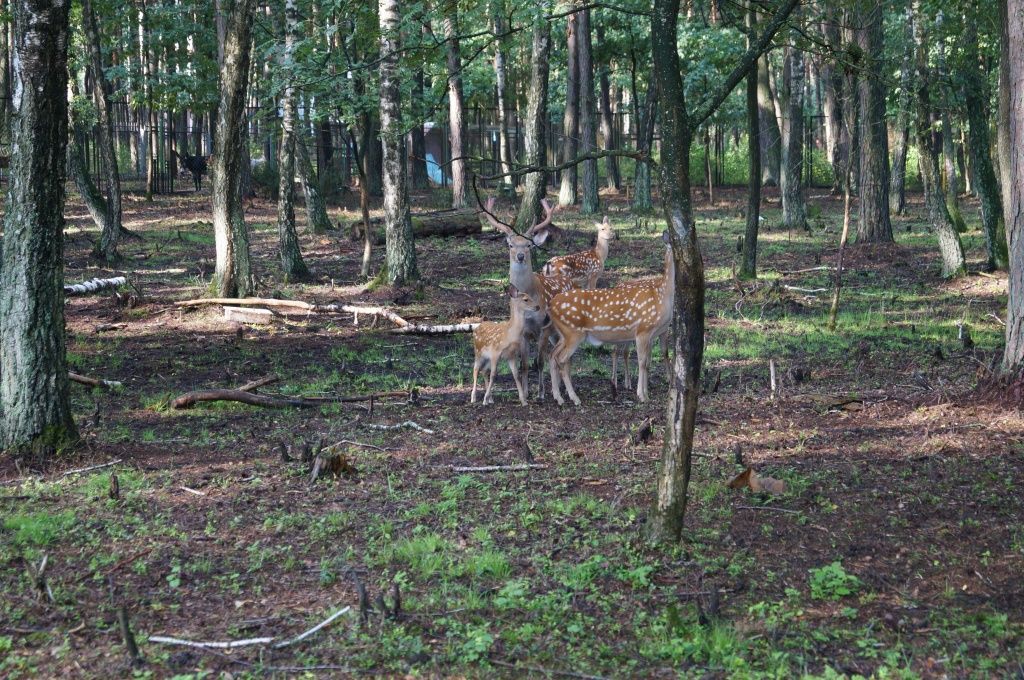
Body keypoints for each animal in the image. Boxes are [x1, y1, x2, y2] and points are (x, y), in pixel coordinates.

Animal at [481, 196, 577, 399]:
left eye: (528, 245)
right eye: (511, 244)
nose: (520, 256)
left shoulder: (543, 327)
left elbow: (539, 362)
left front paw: (540, 394)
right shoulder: (523, 332)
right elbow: (524, 365)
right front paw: (525, 393)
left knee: (565, 356)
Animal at [548, 231, 675, 405]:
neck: (662, 295)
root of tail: (551, 304)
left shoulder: (651, 334)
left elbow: (647, 362)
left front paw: (646, 394)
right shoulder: (643, 329)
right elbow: (642, 362)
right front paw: (641, 395)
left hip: (564, 334)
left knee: (553, 355)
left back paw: (558, 396)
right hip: (573, 333)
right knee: (561, 359)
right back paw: (574, 398)